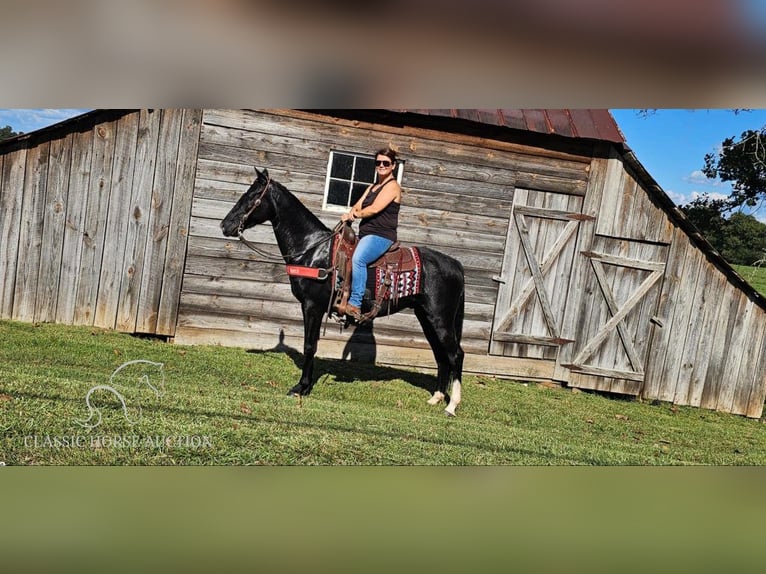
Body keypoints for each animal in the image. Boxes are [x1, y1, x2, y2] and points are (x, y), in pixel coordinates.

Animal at [219, 169, 464, 416]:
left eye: (252, 195)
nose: (224, 225)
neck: (313, 250)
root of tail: (455, 265)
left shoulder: (311, 306)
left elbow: (310, 345)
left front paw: (301, 387)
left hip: (439, 318)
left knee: (455, 355)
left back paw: (451, 405)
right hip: (425, 317)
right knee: (441, 355)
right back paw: (436, 398)